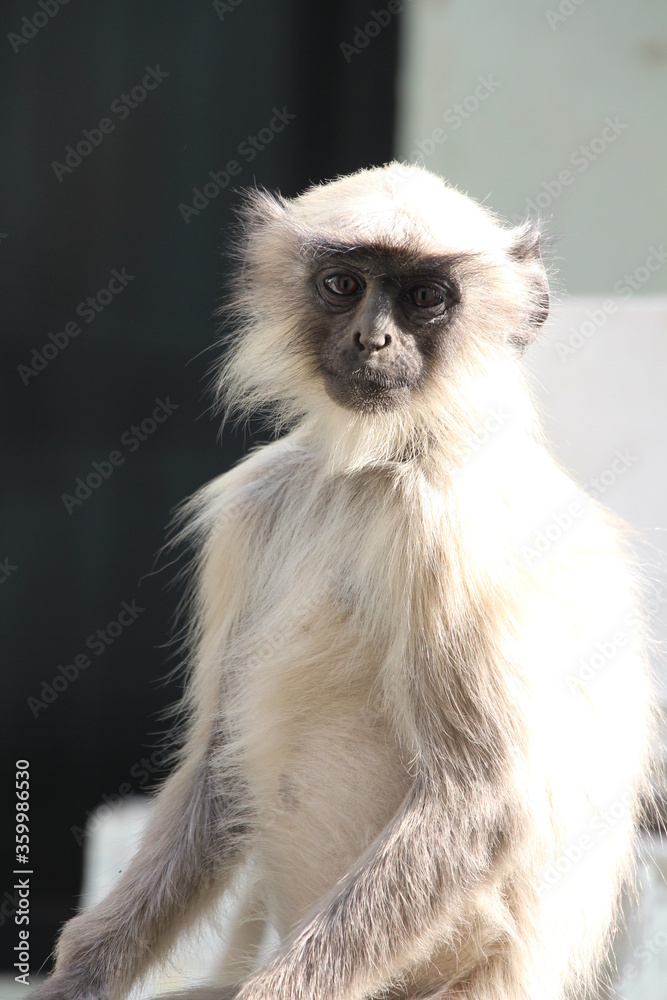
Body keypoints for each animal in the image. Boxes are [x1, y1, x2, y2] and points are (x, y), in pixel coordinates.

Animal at [32, 162, 659, 1000]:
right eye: (342, 285)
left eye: (424, 297)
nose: (372, 338)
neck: (379, 461)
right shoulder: (259, 502)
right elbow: (216, 770)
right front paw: (86, 972)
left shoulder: (442, 525)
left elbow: (480, 803)